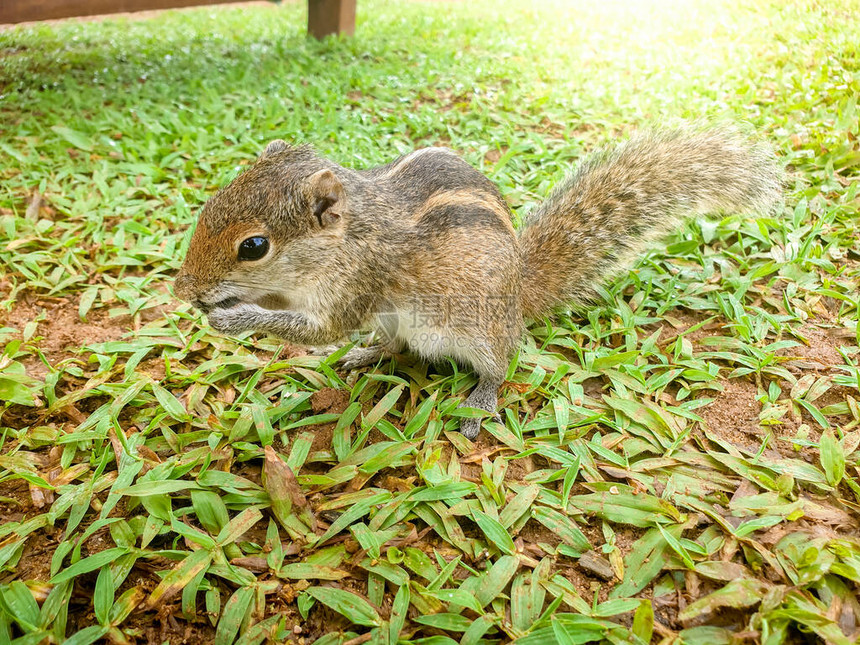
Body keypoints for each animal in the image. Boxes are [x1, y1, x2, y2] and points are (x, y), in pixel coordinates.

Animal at [175, 126, 780, 438]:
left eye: (254, 246)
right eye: (208, 203)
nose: (183, 290)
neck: (351, 233)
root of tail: (519, 294)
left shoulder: (357, 284)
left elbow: (316, 329)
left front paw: (233, 317)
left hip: (477, 326)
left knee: (499, 362)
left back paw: (482, 400)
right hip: (401, 321)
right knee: (396, 345)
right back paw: (367, 355)